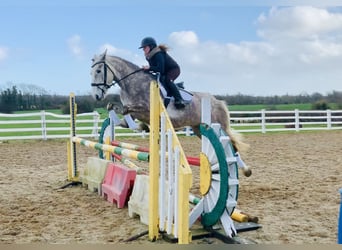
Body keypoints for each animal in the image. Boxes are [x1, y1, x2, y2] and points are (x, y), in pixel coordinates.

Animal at [91, 50, 251, 176]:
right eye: (91, 72)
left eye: (98, 71)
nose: (96, 96)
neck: (131, 83)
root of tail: (217, 101)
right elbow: (118, 113)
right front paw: (141, 126)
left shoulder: (146, 109)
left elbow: (126, 110)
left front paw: (143, 127)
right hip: (198, 129)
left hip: (217, 127)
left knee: (232, 146)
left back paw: (244, 170)